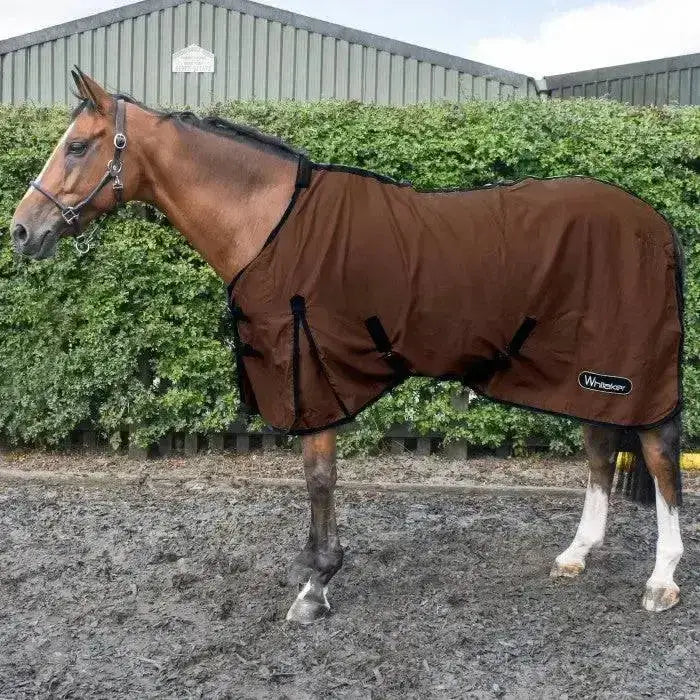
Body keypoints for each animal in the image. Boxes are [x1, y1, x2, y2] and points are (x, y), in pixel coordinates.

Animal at [10, 68, 684, 624]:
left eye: (78, 145)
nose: (21, 230)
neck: (271, 224)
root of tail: (656, 222)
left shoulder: (311, 370)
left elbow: (319, 477)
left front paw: (317, 585)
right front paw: (315, 571)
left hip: (628, 373)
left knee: (659, 457)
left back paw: (662, 580)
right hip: (583, 372)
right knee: (600, 452)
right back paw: (577, 554)